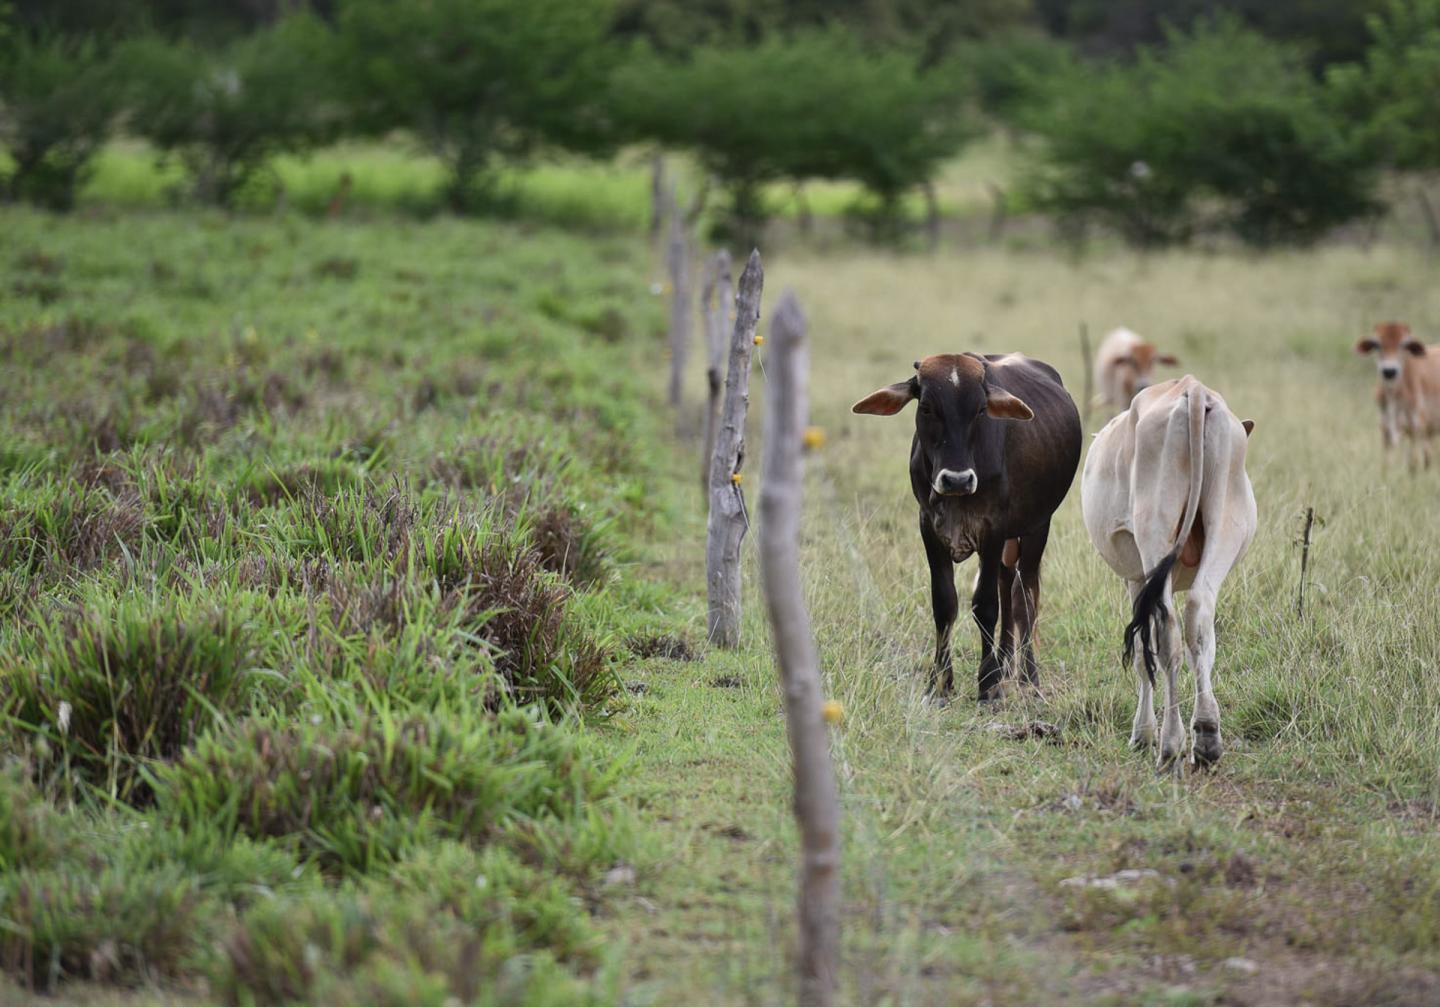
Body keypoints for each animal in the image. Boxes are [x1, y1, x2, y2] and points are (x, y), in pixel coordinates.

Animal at [1347, 321, 1440, 469]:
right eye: (1377, 344)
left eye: (1404, 345)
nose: (1389, 371)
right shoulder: (1385, 429)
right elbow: (1385, 465)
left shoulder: (1415, 428)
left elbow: (1413, 464)